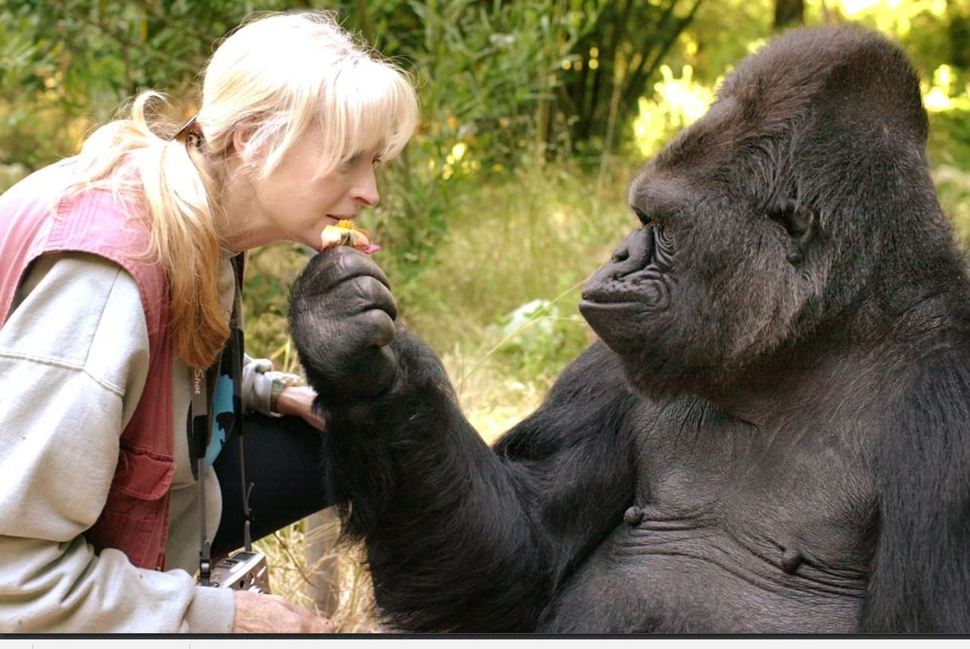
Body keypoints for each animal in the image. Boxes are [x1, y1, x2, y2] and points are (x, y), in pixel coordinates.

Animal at [286, 26, 968, 632]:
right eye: (641, 218)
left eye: (660, 226)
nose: (618, 255)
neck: (817, 338)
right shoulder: (612, 364)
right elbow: (516, 557)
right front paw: (353, 358)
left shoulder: (948, 410)